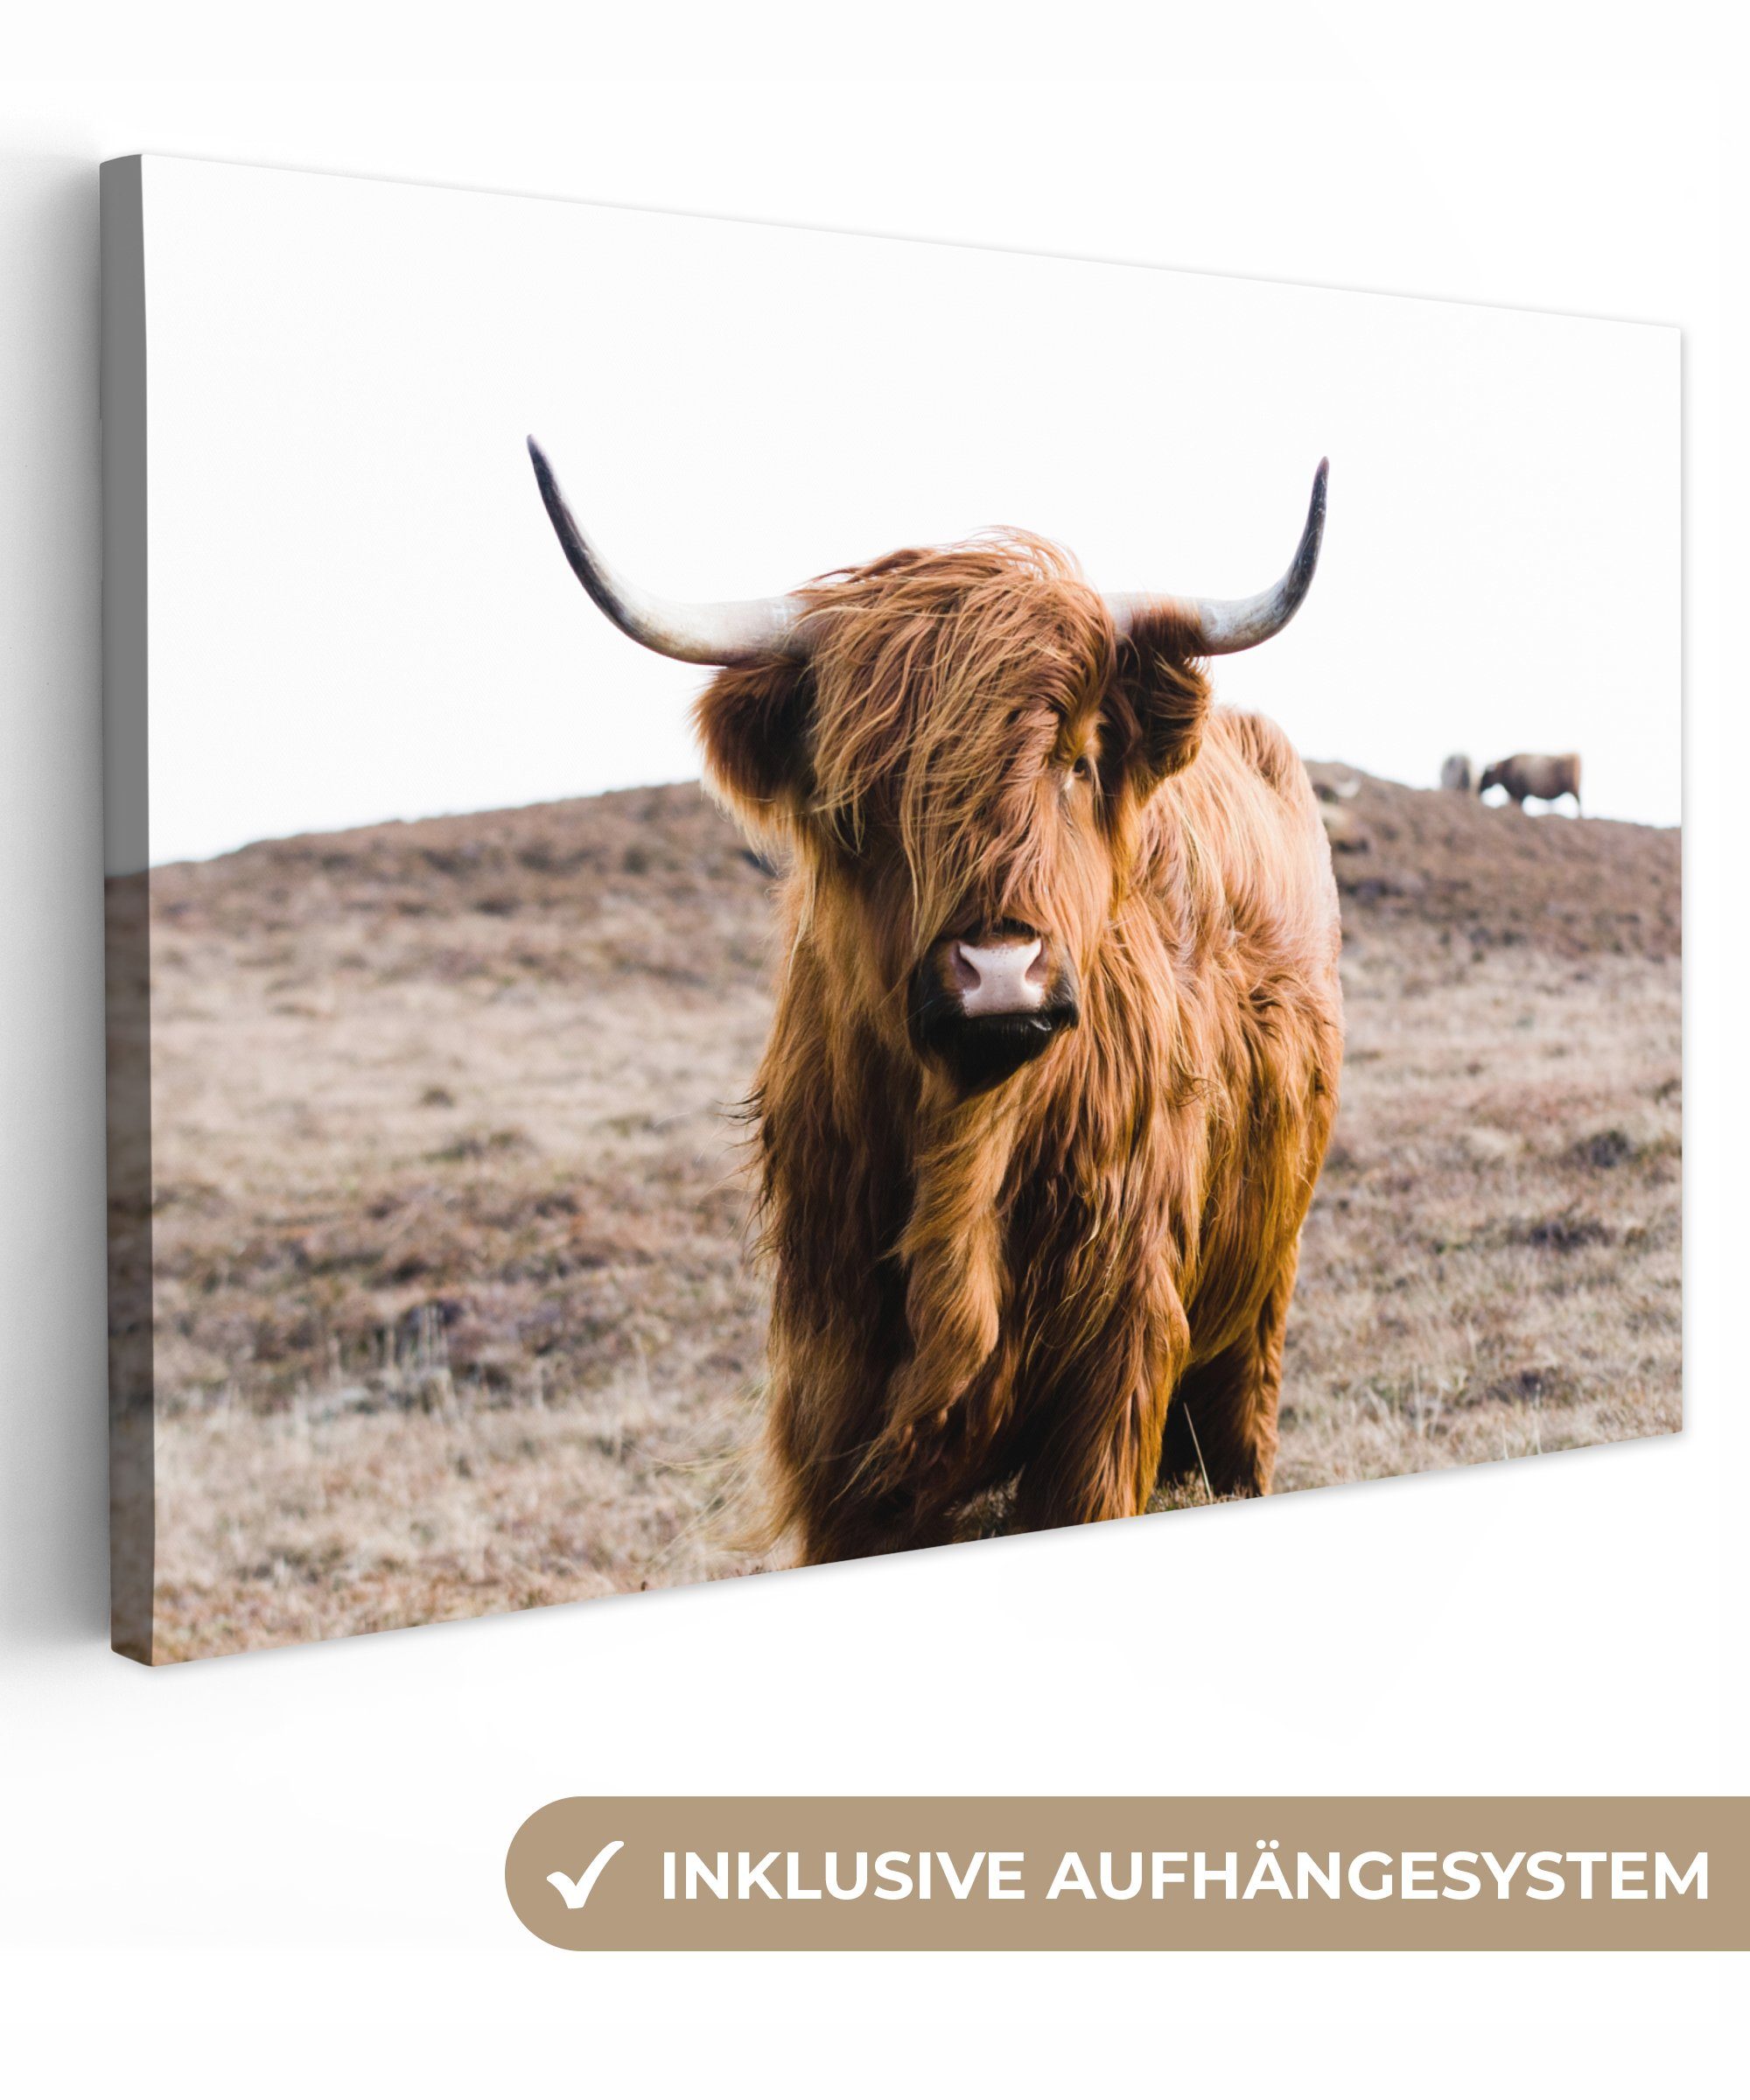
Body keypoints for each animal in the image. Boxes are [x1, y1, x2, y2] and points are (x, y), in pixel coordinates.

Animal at [529, 439, 1344, 1563]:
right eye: (862, 792)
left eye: (1075, 760)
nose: (998, 968)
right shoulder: (836, 1387)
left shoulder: (1115, 1359)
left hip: (1260, 1291)